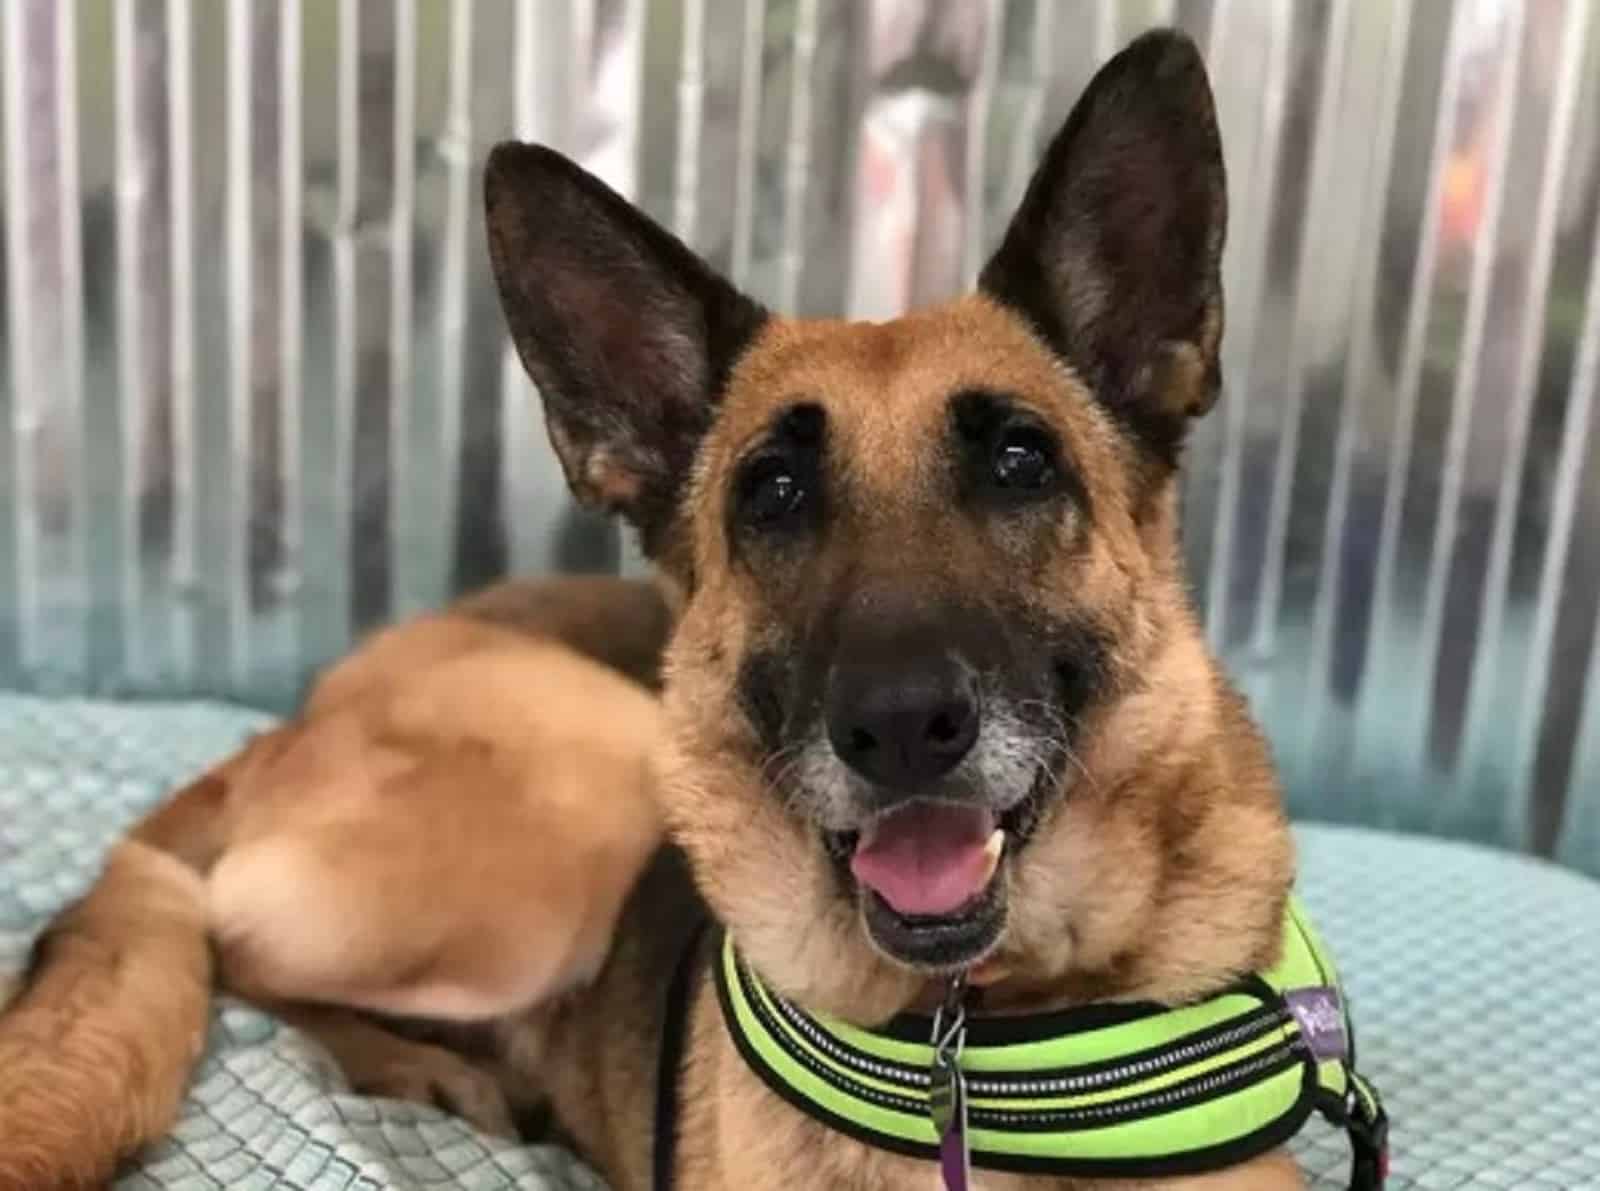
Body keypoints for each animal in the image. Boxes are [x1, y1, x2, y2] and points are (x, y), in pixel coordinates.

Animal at [0, 28, 1305, 1191]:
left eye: (1022, 464)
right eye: (771, 493)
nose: (899, 729)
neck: (978, 1035)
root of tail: (295, 722)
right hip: (595, 790)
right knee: (226, 938)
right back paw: (425, 1065)